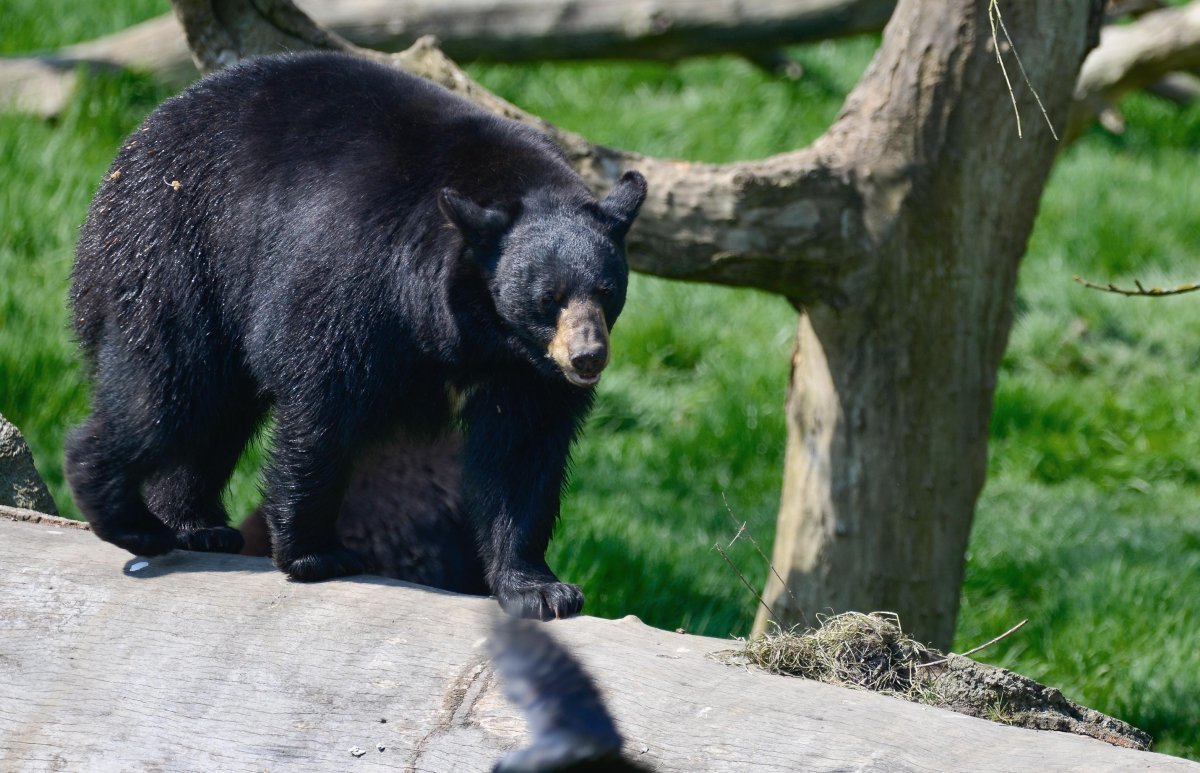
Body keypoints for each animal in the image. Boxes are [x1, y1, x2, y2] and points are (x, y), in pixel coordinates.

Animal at [65, 51, 648, 619]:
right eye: (548, 297)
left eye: (607, 290)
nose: (587, 358)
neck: (473, 325)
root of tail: (142, 137)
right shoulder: (357, 274)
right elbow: (323, 403)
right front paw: (315, 554)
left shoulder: (526, 367)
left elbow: (523, 450)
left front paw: (540, 590)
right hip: (177, 253)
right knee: (170, 386)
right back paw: (126, 513)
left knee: (215, 415)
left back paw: (195, 525)